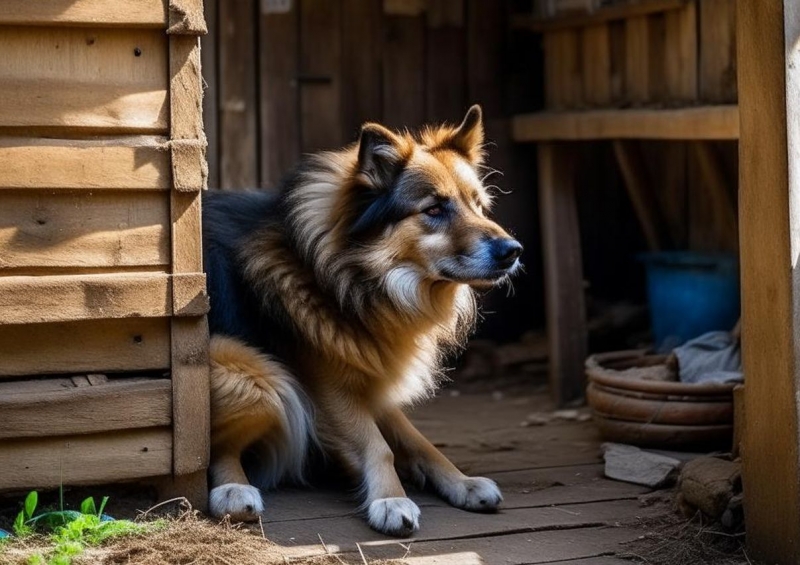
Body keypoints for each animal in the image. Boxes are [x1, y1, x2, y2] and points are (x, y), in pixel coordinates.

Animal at [203, 104, 520, 532]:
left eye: (479, 205)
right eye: (434, 209)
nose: (513, 251)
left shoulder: (371, 376)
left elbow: (416, 439)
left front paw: (461, 482)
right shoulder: (328, 387)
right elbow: (377, 444)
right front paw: (390, 499)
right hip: (252, 373)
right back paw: (233, 490)